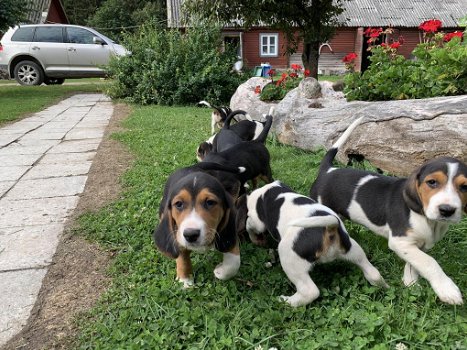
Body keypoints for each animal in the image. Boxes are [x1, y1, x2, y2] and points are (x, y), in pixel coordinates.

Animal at [241, 180, 388, 306]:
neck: (271, 189)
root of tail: (329, 230)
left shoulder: (257, 221)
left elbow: (249, 225)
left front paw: (256, 240)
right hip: (353, 250)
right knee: (373, 273)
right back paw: (385, 287)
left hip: (289, 258)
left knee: (310, 291)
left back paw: (286, 301)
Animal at [310, 116, 467, 304]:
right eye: (432, 182)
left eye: (464, 186)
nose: (447, 210)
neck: (427, 219)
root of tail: (327, 170)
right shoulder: (399, 241)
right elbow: (429, 262)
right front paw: (447, 289)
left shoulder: (416, 245)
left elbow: (415, 262)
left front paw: (410, 281)